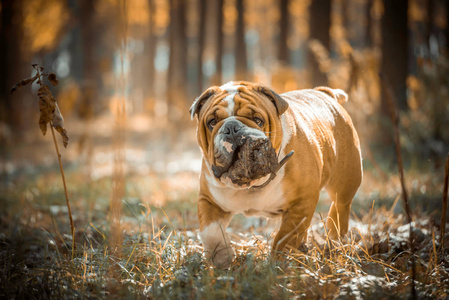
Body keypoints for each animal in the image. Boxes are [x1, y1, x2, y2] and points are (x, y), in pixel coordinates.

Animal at [188, 81, 360, 268]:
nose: (231, 128)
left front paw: (279, 263)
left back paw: (334, 240)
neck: (252, 183)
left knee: (340, 207)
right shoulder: (209, 200)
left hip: (345, 182)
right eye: (212, 122)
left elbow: (286, 237)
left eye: (258, 120)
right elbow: (210, 232)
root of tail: (325, 92)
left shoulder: (302, 203)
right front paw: (221, 258)